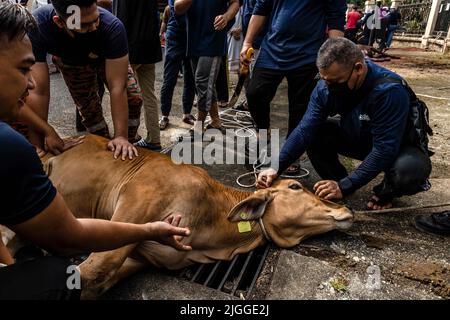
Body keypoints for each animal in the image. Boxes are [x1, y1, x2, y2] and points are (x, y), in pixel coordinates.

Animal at [42, 134, 354, 298]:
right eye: (295, 186)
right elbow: (94, 270)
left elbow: (99, 279)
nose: (346, 208)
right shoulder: (136, 204)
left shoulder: (141, 256)